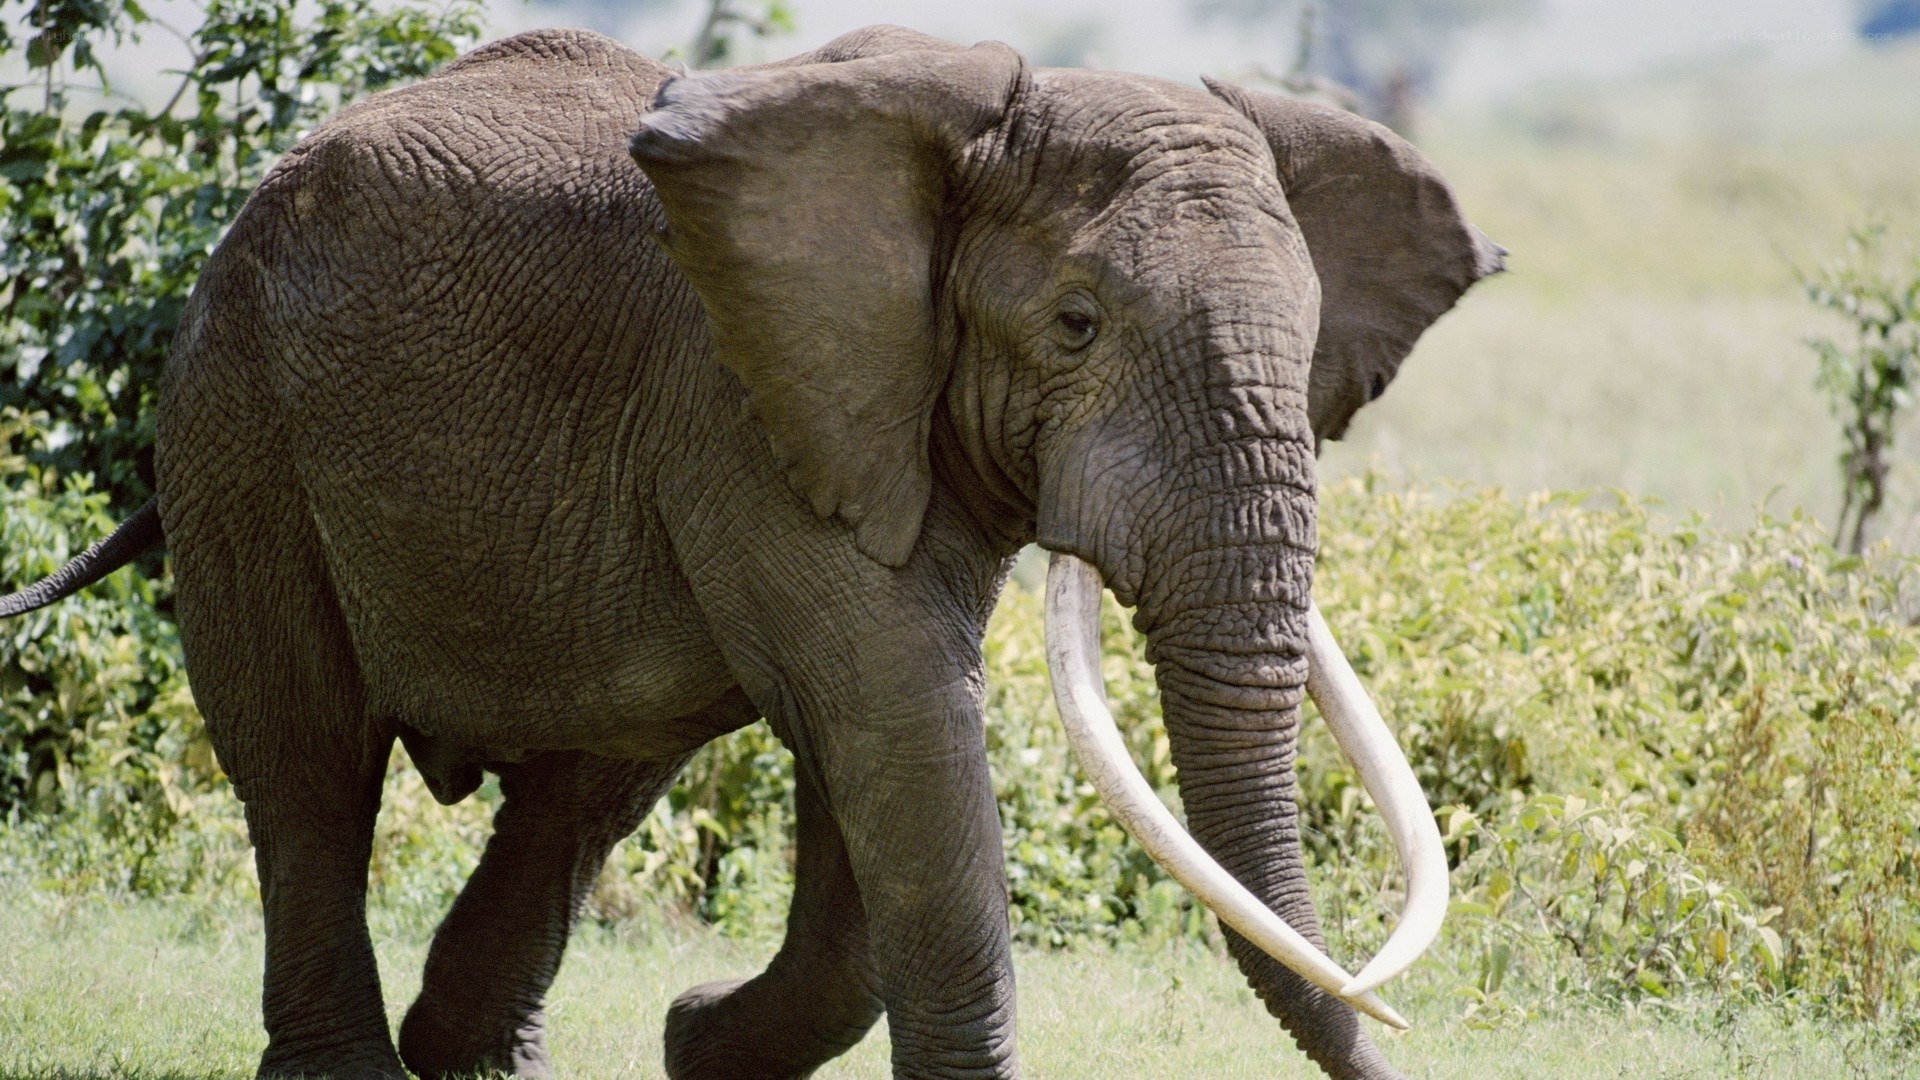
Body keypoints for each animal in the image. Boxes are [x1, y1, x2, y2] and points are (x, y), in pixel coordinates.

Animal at [0, 24, 1502, 1080]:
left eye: (1307, 352)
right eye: (1076, 325)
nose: (1403, 1049)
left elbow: (880, 761)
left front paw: (693, 1042)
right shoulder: (749, 401)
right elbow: (898, 723)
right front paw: (704, 1038)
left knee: (589, 784)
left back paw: (474, 1060)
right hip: (239, 423)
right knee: (308, 760)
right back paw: (354, 1070)